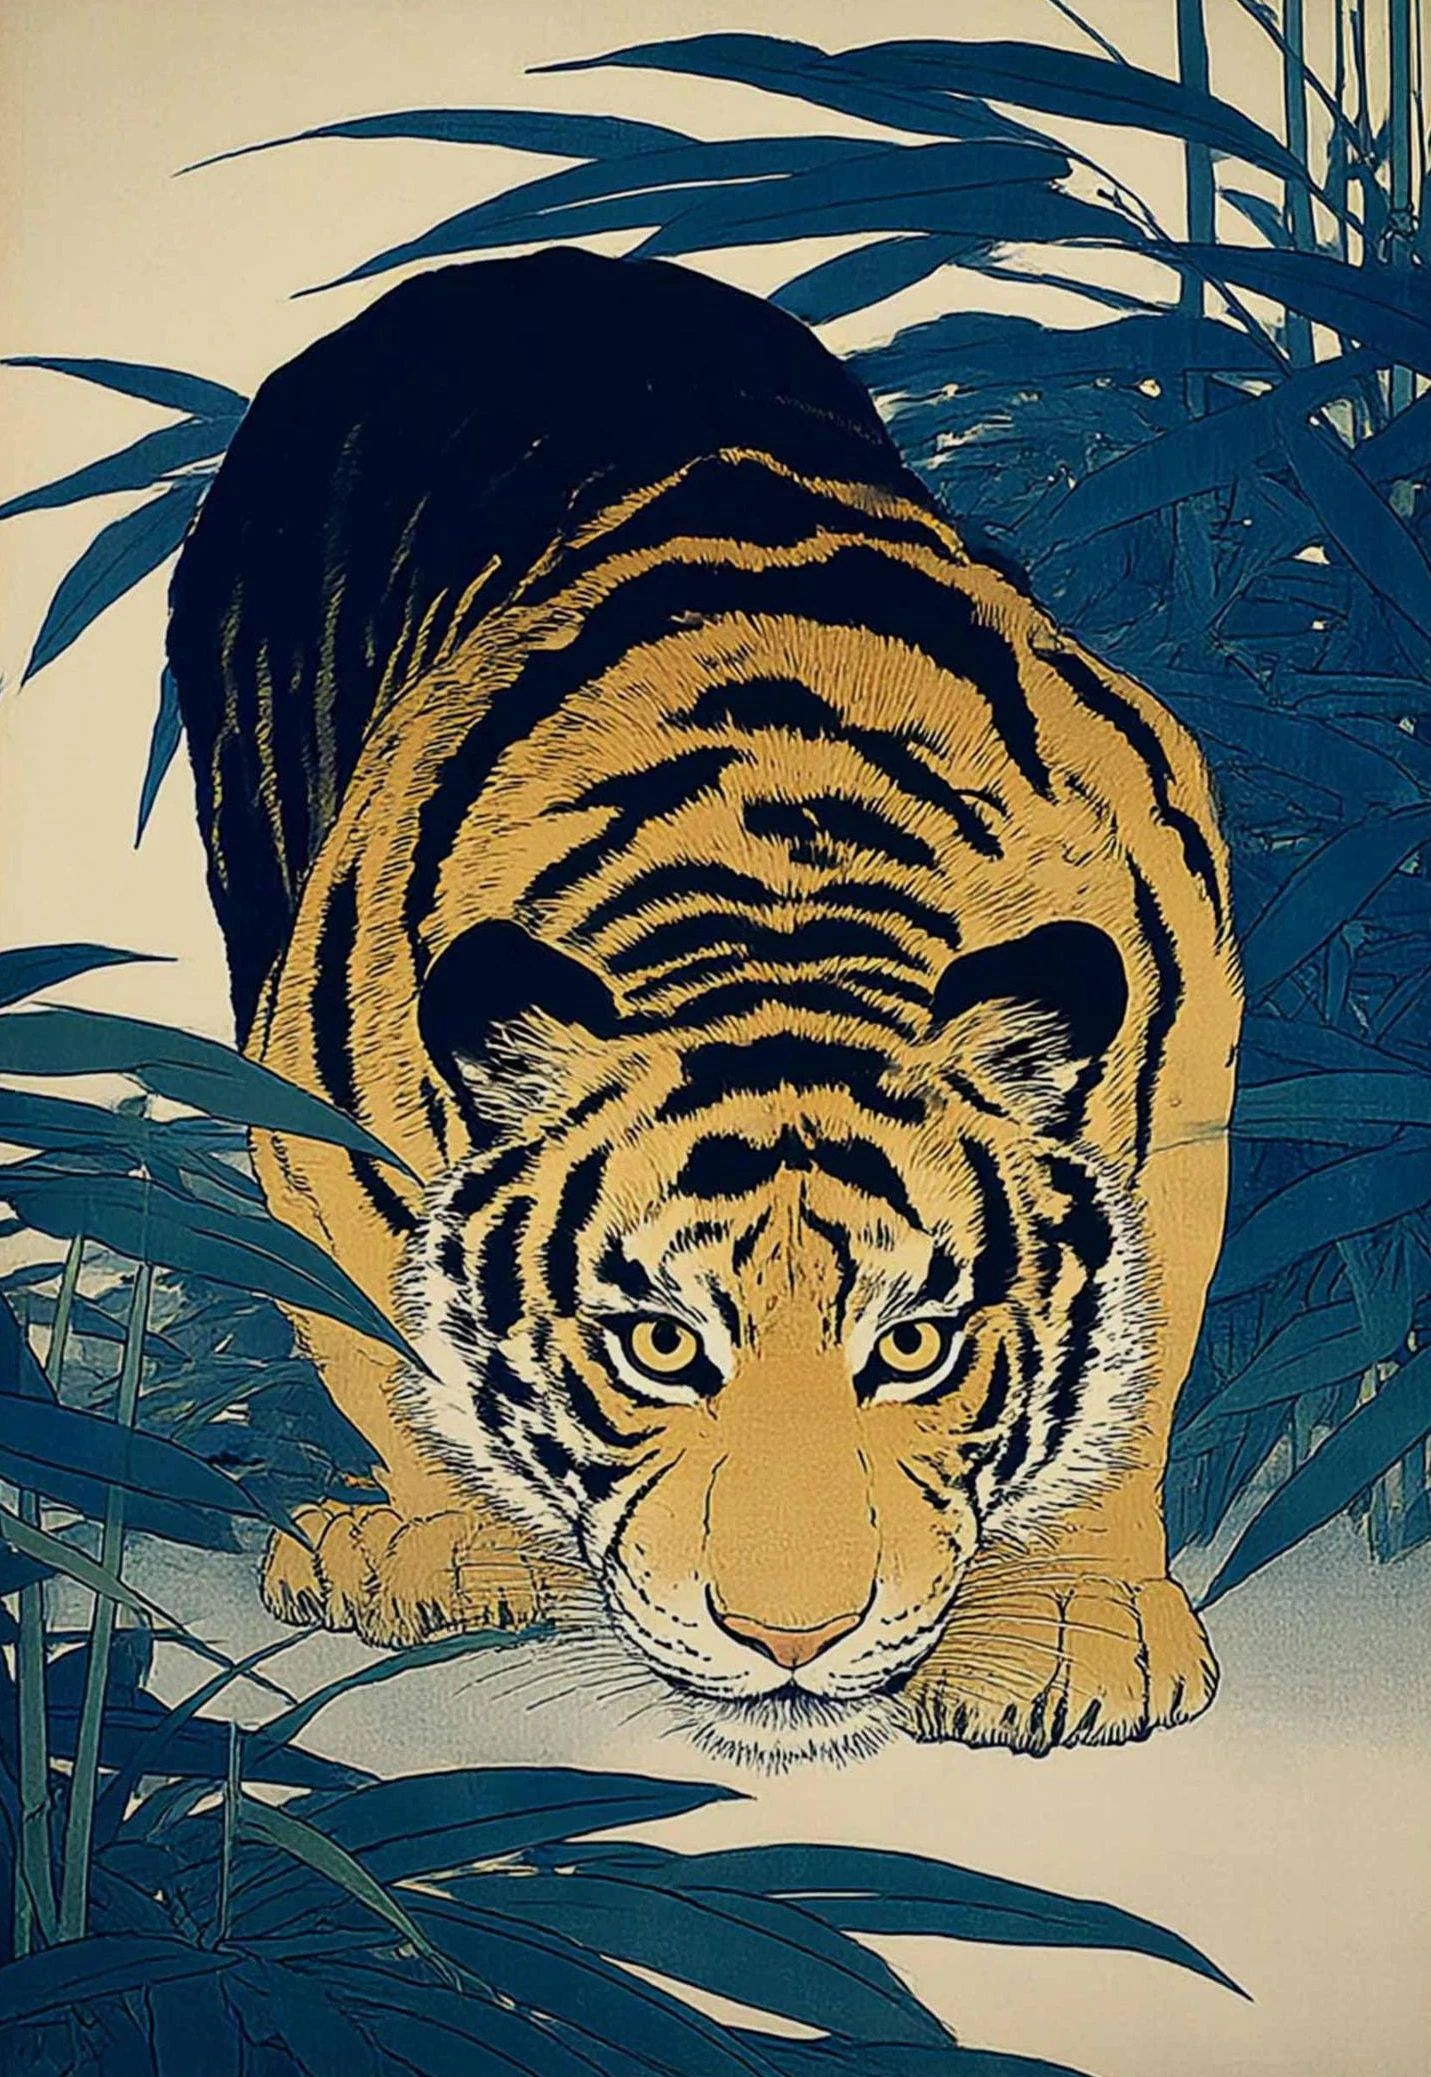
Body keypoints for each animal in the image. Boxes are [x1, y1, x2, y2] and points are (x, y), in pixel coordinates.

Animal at [166, 246, 1240, 1765]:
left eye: (915, 1345)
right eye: (659, 1347)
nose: (792, 1640)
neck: (785, 891)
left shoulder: (1176, 1096)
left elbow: (1125, 1369)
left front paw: (1057, 1634)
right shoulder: (316, 1130)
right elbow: (382, 1338)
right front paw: (439, 1552)